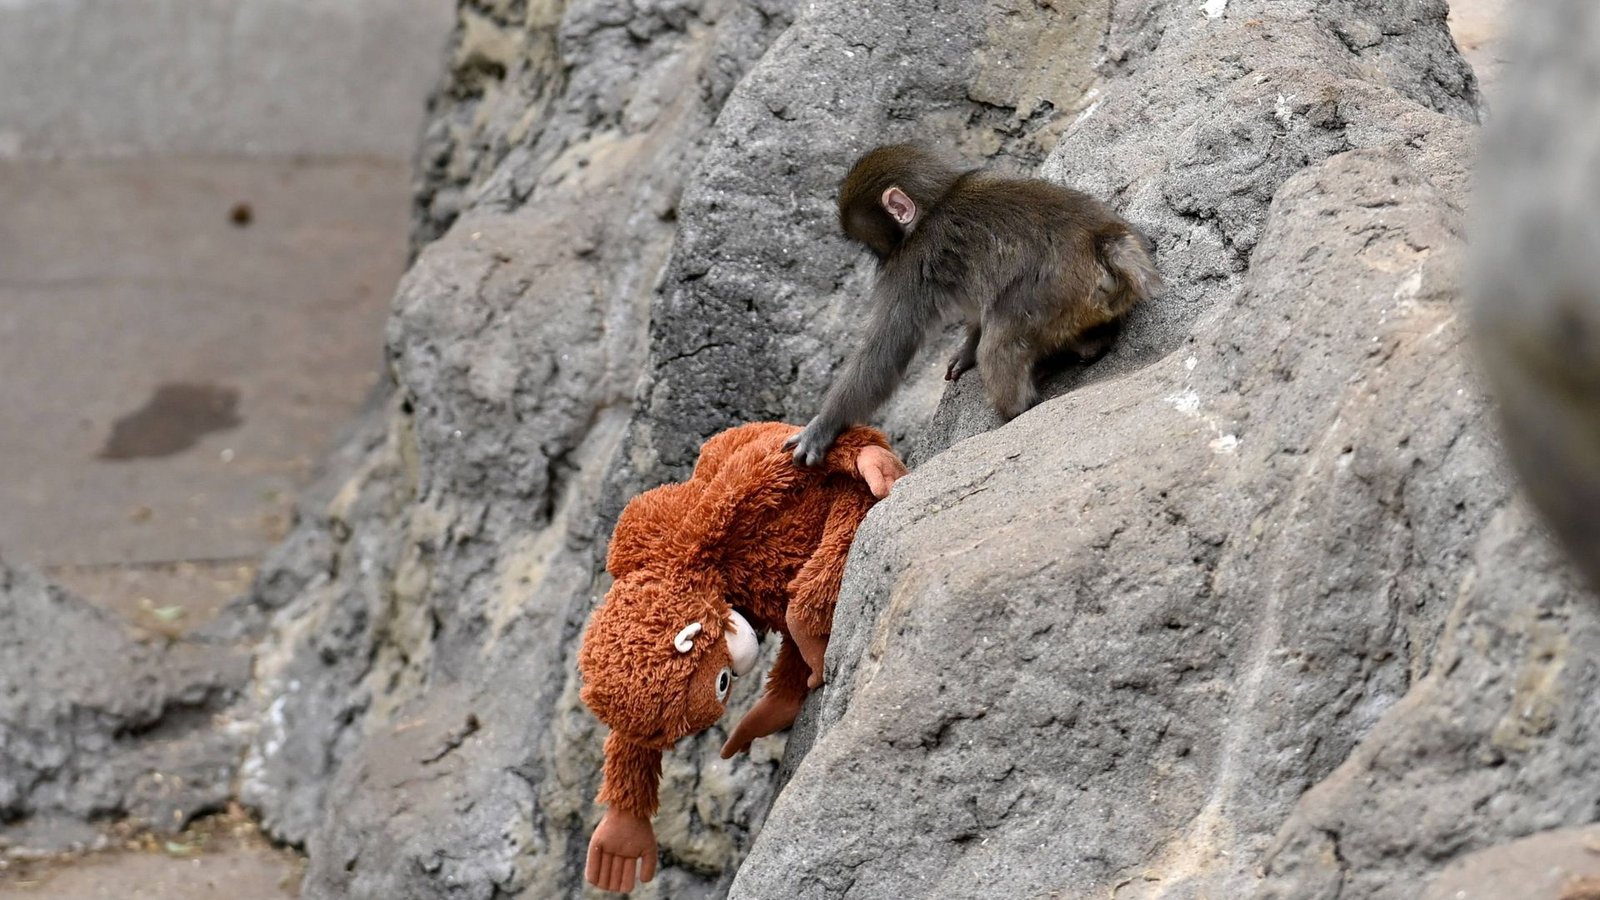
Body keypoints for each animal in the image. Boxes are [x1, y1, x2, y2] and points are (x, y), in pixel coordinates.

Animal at [785, 143, 1163, 466]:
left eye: (871, 245)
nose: (878, 260)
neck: (936, 201)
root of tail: (1103, 240)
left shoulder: (909, 266)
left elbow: (886, 350)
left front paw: (823, 426)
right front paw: (965, 351)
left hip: (1049, 296)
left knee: (999, 344)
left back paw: (1014, 409)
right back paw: (1092, 343)